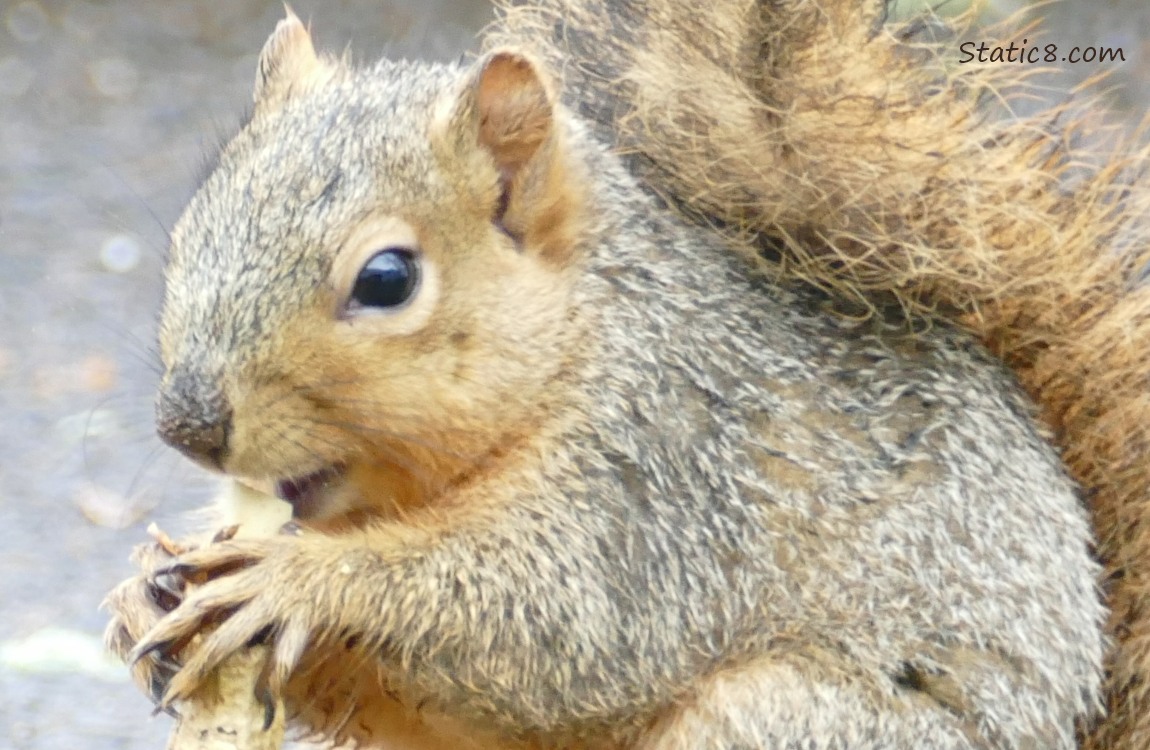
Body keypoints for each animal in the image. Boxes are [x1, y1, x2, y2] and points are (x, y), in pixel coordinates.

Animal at [103, 1, 1108, 750]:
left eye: (387, 279)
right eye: (197, 220)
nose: (187, 424)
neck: (584, 342)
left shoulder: (665, 475)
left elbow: (560, 617)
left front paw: (295, 582)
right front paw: (146, 587)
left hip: (784, 719)